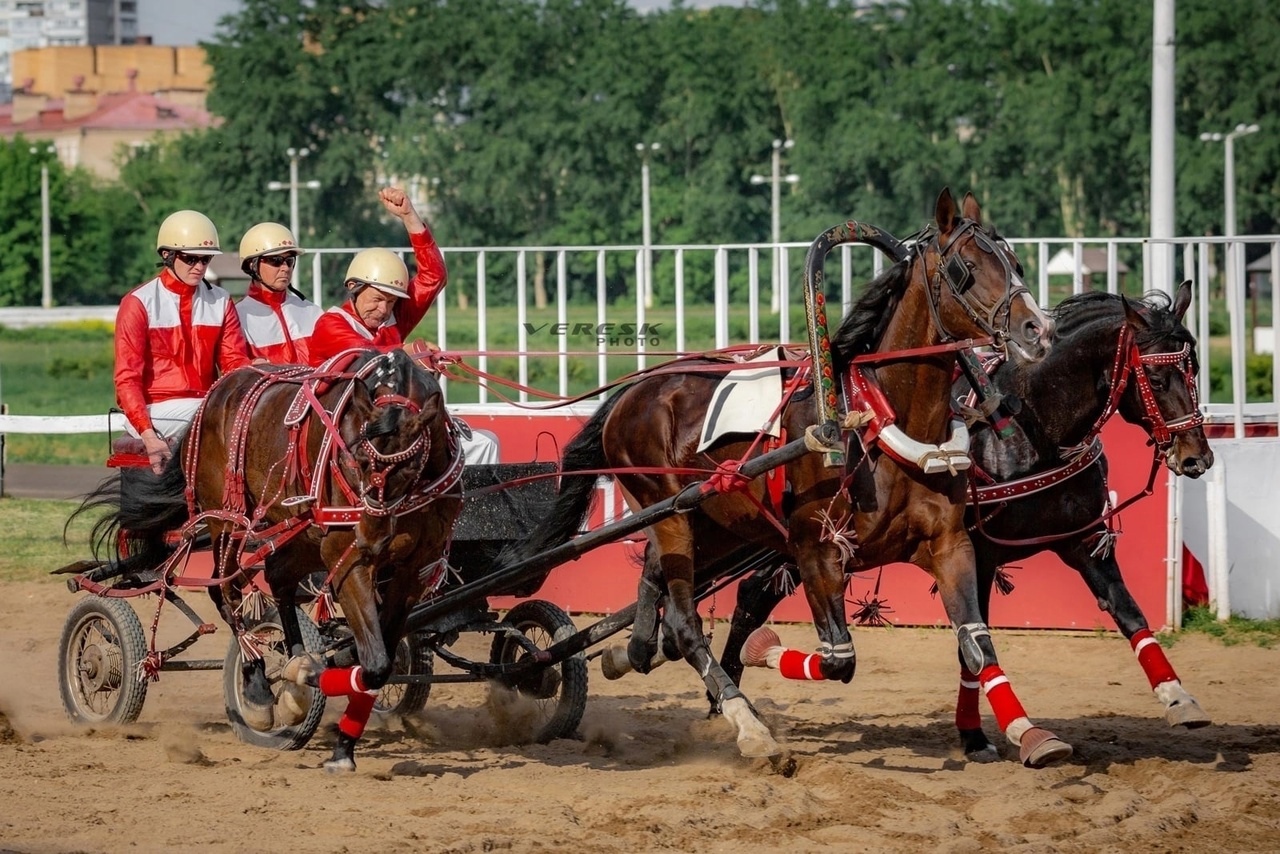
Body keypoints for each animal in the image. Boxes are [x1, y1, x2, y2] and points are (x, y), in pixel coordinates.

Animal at [77, 350, 463, 773]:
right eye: (357, 459)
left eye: (410, 468)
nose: (371, 539)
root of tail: (216, 395)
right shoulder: (345, 556)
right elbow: (373, 662)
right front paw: (315, 692)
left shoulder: (413, 569)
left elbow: (383, 661)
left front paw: (343, 742)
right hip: (227, 517)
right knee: (227, 593)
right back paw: (262, 685)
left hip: (303, 531)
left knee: (278, 577)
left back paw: (295, 666)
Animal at [499, 190, 1070, 763]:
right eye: (965, 268)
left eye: (1017, 263)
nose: (1039, 330)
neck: (875, 418)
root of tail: (632, 392)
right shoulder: (814, 548)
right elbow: (839, 659)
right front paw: (761, 654)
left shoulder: (949, 544)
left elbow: (978, 643)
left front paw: (1029, 734)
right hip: (669, 512)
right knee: (684, 622)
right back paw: (744, 721)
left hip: (711, 520)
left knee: (657, 581)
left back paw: (636, 651)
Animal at [727, 279, 1213, 763]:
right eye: (1154, 378)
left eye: (1193, 369)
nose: (1197, 457)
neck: (1033, 429)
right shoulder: (978, 552)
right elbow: (973, 647)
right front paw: (985, 732)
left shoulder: (1084, 540)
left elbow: (1128, 612)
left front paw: (1178, 697)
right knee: (753, 597)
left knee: (754, 594)